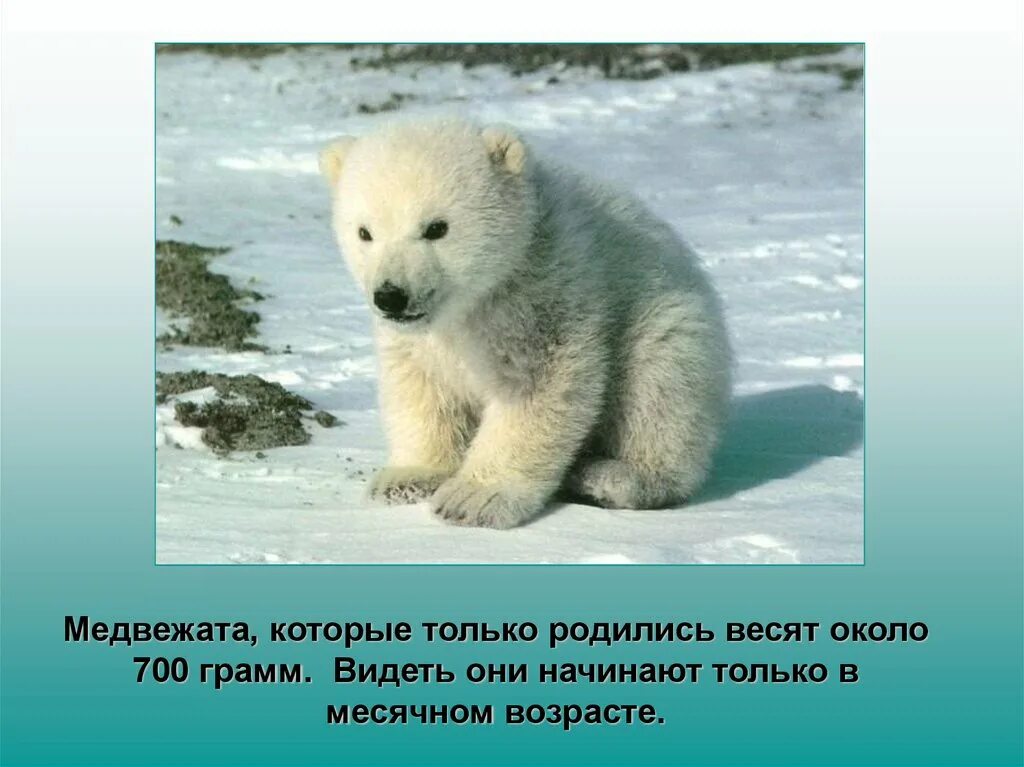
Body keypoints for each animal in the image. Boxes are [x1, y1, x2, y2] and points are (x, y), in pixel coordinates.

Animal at [319, 116, 732, 529]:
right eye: (365, 232)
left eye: (436, 227)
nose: (391, 296)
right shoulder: (421, 339)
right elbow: (421, 385)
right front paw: (406, 479)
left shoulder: (545, 291)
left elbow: (536, 387)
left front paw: (473, 498)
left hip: (666, 320)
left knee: (660, 391)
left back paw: (612, 476)